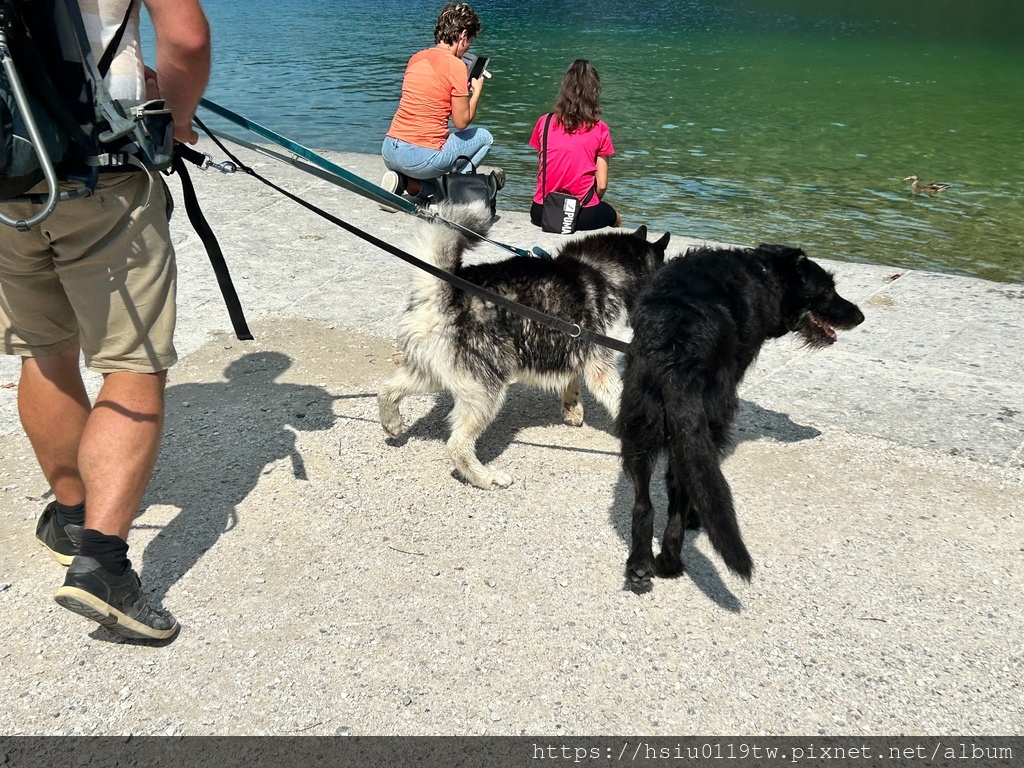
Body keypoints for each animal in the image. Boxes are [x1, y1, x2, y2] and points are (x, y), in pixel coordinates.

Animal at [378, 202, 671, 493]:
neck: (604, 271)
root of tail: (441, 290)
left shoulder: (573, 348)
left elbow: (572, 380)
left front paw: (572, 408)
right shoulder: (599, 363)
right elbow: (616, 396)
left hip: (432, 373)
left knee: (387, 389)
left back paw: (392, 423)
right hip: (485, 389)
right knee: (457, 445)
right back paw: (484, 477)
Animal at [614, 244, 864, 589]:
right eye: (827, 290)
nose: (860, 316)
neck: (762, 273)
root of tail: (677, 352)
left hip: (640, 428)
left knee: (644, 504)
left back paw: (640, 565)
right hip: (705, 427)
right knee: (679, 499)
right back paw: (670, 560)